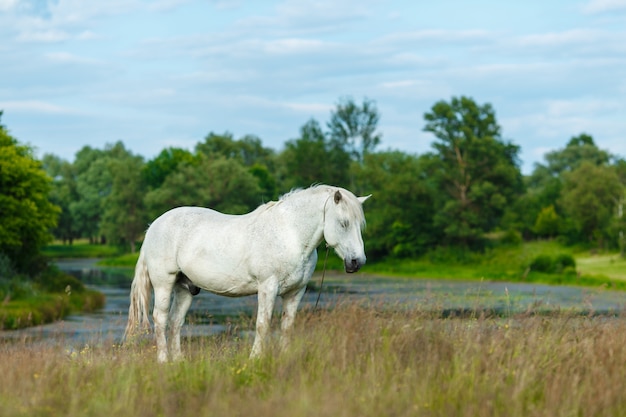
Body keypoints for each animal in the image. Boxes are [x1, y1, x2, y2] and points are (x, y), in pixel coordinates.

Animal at [124, 184, 368, 360]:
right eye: (344, 223)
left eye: (360, 225)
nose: (357, 262)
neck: (289, 234)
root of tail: (154, 226)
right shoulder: (268, 287)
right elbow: (263, 325)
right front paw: (255, 359)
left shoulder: (295, 292)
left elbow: (287, 326)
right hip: (164, 284)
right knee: (161, 319)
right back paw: (163, 362)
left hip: (184, 289)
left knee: (175, 322)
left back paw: (178, 362)